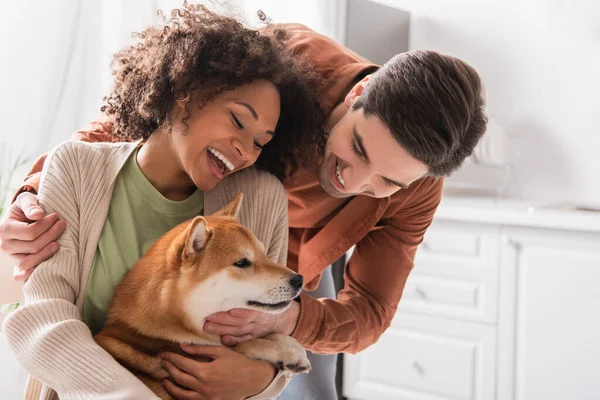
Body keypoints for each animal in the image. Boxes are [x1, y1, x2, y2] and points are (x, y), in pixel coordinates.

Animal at [95, 193, 310, 396]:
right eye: (242, 262)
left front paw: (291, 345)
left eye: (264, 254)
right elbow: (243, 346)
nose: (299, 280)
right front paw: (286, 353)